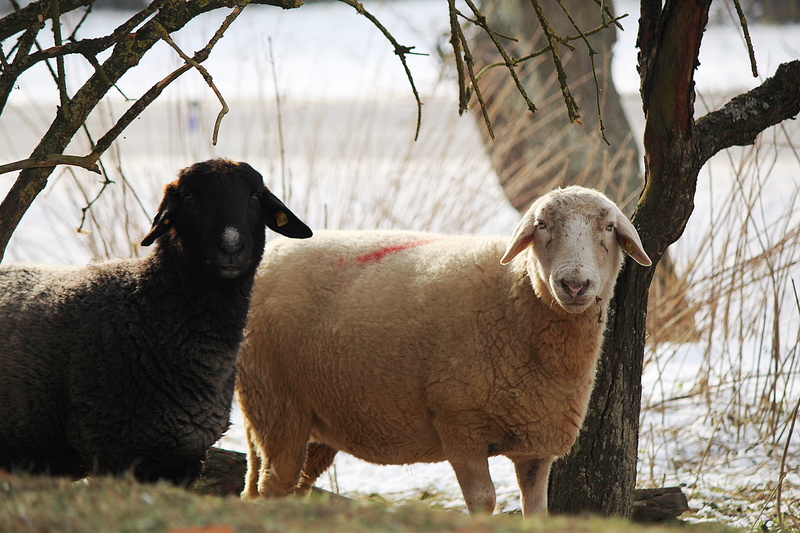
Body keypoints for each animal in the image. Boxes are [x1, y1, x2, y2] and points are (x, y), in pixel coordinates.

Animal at [236, 185, 651, 516]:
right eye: (542, 225)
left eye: (608, 228)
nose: (575, 285)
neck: (514, 295)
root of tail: (270, 257)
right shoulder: (458, 423)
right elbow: (483, 500)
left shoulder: (537, 442)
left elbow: (536, 509)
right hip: (277, 402)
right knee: (275, 485)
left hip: (300, 416)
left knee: (269, 488)